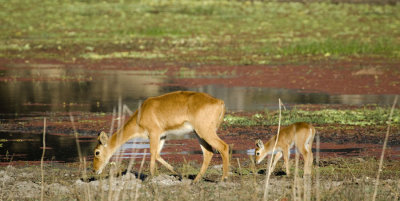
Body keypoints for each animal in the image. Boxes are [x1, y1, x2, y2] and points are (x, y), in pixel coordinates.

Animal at [93, 91, 230, 182]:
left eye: (97, 152)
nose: (95, 170)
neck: (140, 116)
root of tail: (220, 102)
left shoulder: (154, 133)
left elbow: (152, 153)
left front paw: (150, 178)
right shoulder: (162, 136)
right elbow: (158, 154)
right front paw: (178, 174)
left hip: (205, 132)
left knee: (223, 147)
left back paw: (223, 179)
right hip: (199, 134)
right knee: (208, 152)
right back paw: (195, 181)